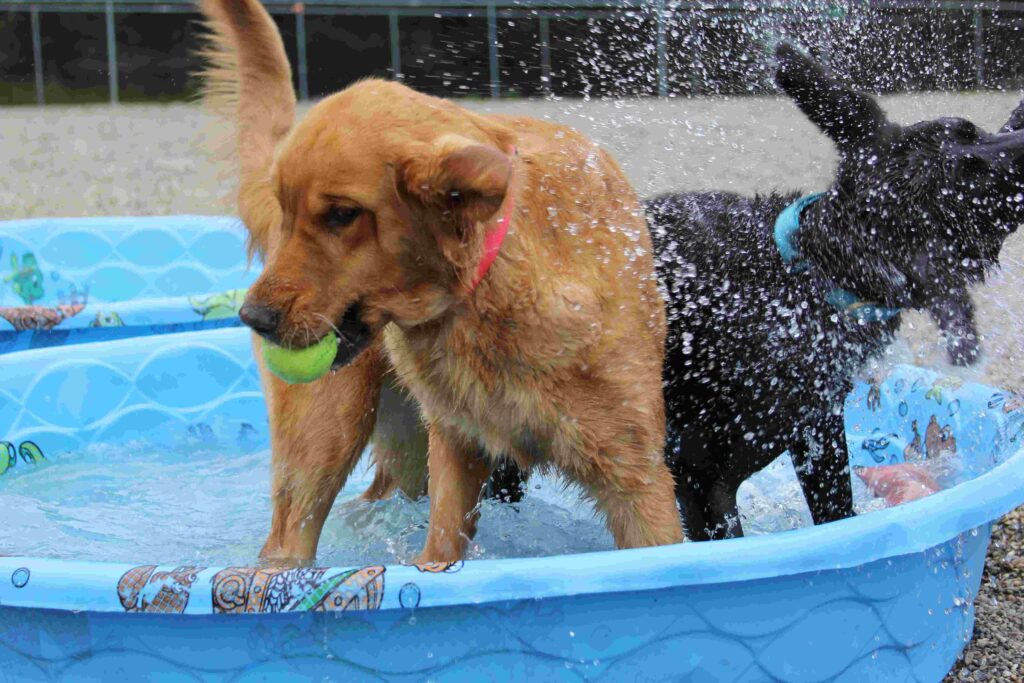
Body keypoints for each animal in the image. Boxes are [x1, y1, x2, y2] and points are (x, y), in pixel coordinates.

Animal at [647, 45, 1024, 540]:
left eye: (972, 130)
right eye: (972, 178)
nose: (1022, 132)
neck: (808, 280)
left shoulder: (818, 432)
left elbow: (837, 512)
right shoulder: (703, 477)